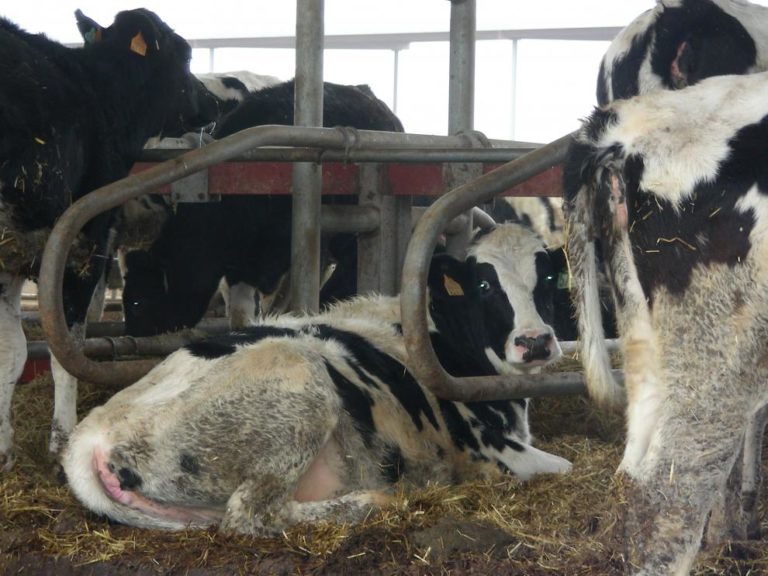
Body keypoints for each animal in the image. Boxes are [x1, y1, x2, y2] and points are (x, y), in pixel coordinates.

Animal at [0, 9, 219, 471]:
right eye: (186, 54)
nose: (212, 102)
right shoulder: (82, 243)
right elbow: (65, 349)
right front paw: (61, 444)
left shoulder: (12, 254)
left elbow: (10, 349)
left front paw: (4, 445)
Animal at [62, 223, 571, 533]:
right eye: (485, 285)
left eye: (546, 280)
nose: (535, 341)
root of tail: (90, 433)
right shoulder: (486, 450)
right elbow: (564, 467)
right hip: (300, 386)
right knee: (250, 514)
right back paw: (378, 500)